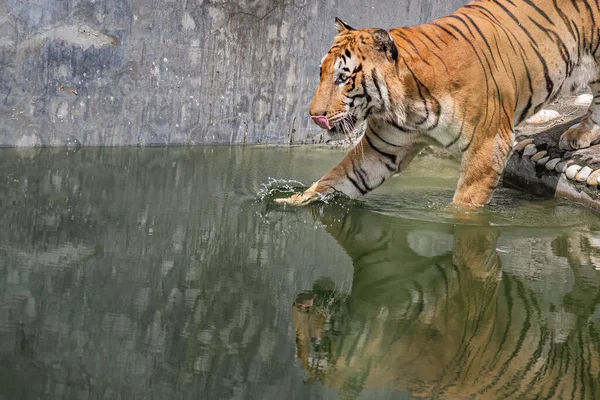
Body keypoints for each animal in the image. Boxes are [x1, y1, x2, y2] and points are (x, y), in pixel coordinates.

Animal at [278, 0, 600, 206]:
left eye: (343, 77)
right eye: (321, 72)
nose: (313, 115)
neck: (408, 106)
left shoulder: (488, 145)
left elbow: (465, 206)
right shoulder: (380, 150)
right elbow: (338, 178)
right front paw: (291, 200)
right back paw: (580, 135)